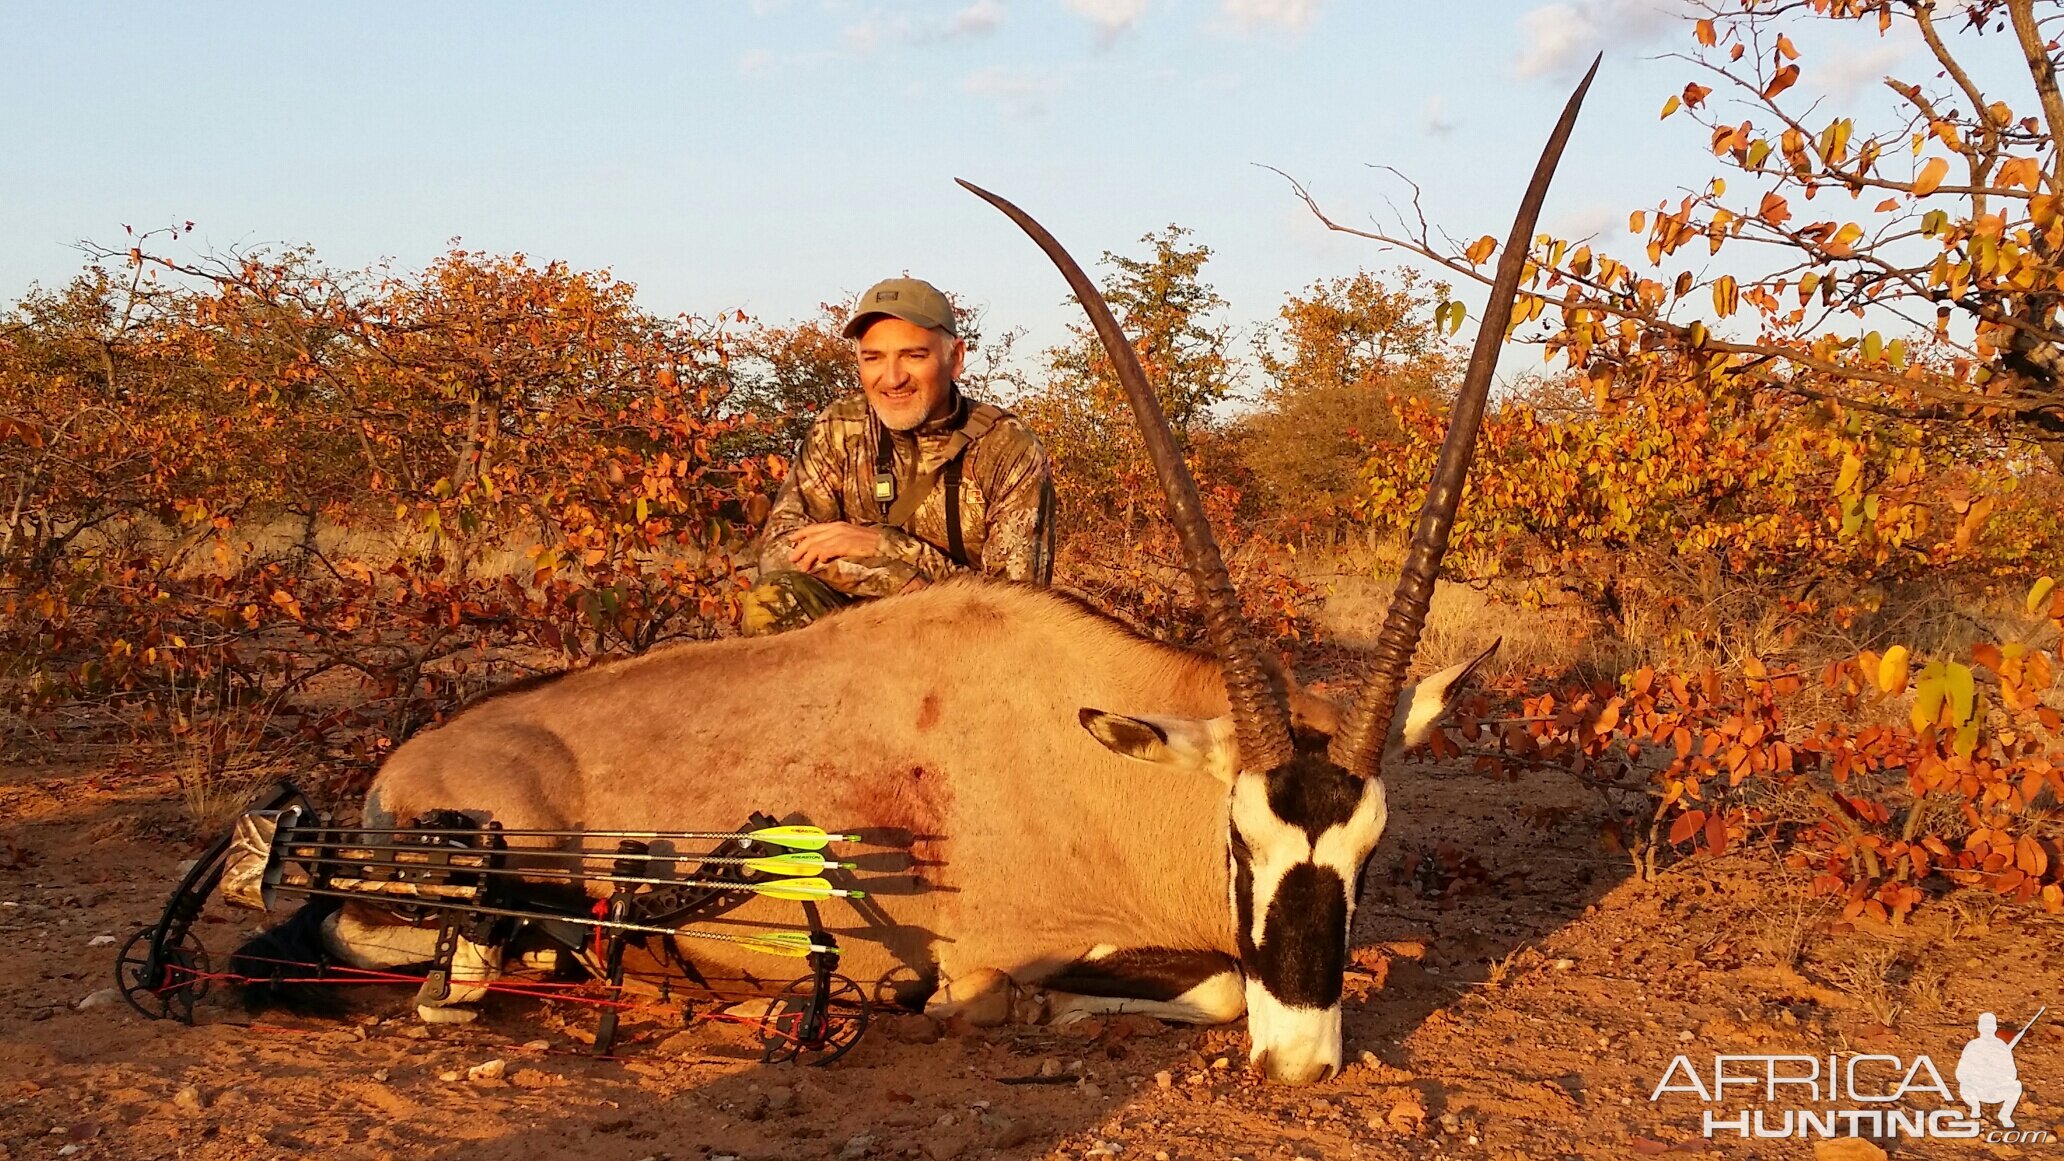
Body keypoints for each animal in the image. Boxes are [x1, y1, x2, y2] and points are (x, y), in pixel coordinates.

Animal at [241, 60, 1593, 1074]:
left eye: (1369, 849)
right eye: (1241, 841)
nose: (1303, 1061)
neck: (1090, 758)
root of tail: (399, 767)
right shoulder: (994, 950)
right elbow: (1130, 992)